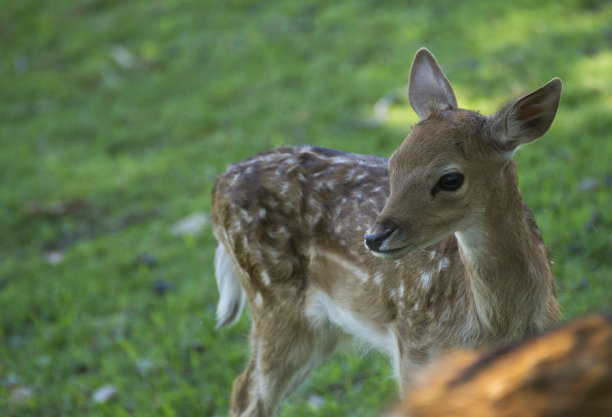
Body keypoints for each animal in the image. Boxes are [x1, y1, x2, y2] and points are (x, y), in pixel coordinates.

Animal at [212, 49, 564, 416]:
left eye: (450, 178)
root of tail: (218, 184)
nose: (374, 237)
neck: (493, 327)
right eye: (392, 165)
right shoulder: (413, 351)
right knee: (245, 392)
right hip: (275, 304)